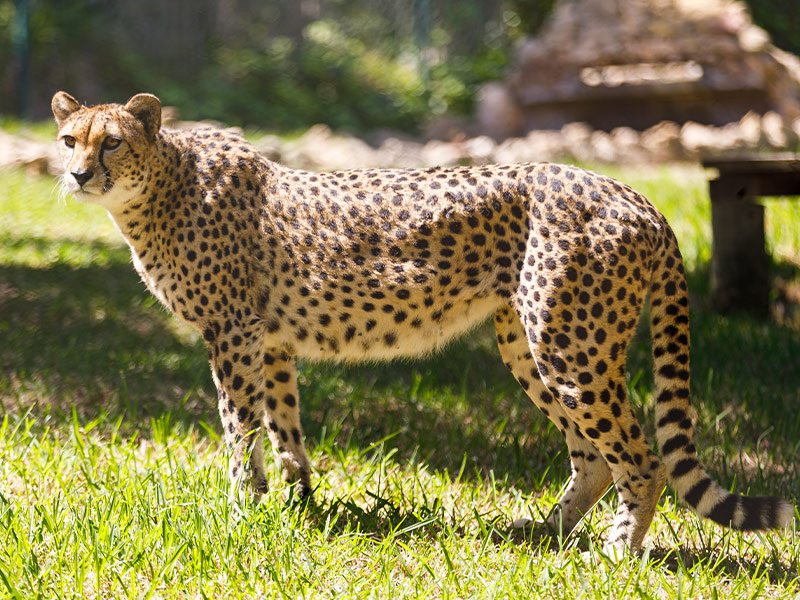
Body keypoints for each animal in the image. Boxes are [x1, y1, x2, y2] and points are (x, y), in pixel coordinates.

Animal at [51, 91, 792, 556]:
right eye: (67, 140)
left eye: (112, 142)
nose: (78, 175)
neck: (161, 186)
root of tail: (631, 192)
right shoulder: (273, 343)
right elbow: (285, 431)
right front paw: (298, 508)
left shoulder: (232, 335)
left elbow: (240, 432)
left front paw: (242, 512)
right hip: (527, 344)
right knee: (592, 457)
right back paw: (540, 536)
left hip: (569, 345)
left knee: (639, 456)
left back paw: (614, 553)